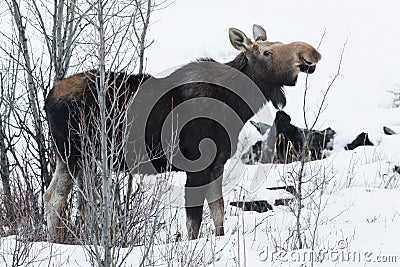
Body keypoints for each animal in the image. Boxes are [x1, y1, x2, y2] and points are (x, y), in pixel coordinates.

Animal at [43, 24, 322, 243]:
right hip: (78, 156)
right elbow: (194, 221)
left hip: (72, 159)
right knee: (70, 201)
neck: (237, 104)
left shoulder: (217, 164)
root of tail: (49, 97)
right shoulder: (196, 165)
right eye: (267, 52)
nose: (311, 53)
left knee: (58, 198)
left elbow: (218, 211)